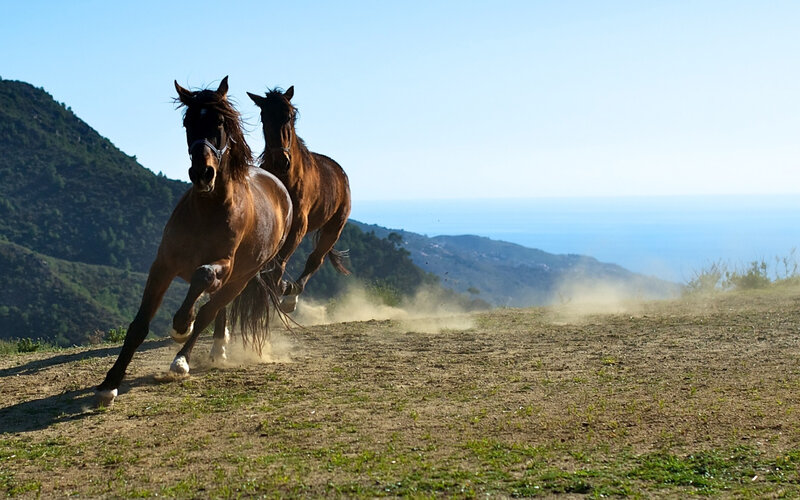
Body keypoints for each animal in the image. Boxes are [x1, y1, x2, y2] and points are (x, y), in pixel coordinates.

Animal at [95, 77, 292, 406]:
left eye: (220, 123)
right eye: (188, 122)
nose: (203, 173)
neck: (207, 210)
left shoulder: (224, 264)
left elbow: (202, 281)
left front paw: (180, 325)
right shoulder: (162, 265)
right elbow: (139, 325)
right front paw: (109, 383)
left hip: (244, 275)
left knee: (210, 309)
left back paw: (182, 359)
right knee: (217, 308)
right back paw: (218, 349)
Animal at [247, 86, 352, 312]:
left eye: (290, 116)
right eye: (264, 117)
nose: (281, 161)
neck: (286, 179)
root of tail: (341, 174)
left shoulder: (298, 226)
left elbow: (280, 263)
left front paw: (283, 287)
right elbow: (273, 264)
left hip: (334, 228)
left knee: (315, 260)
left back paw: (291, 295)